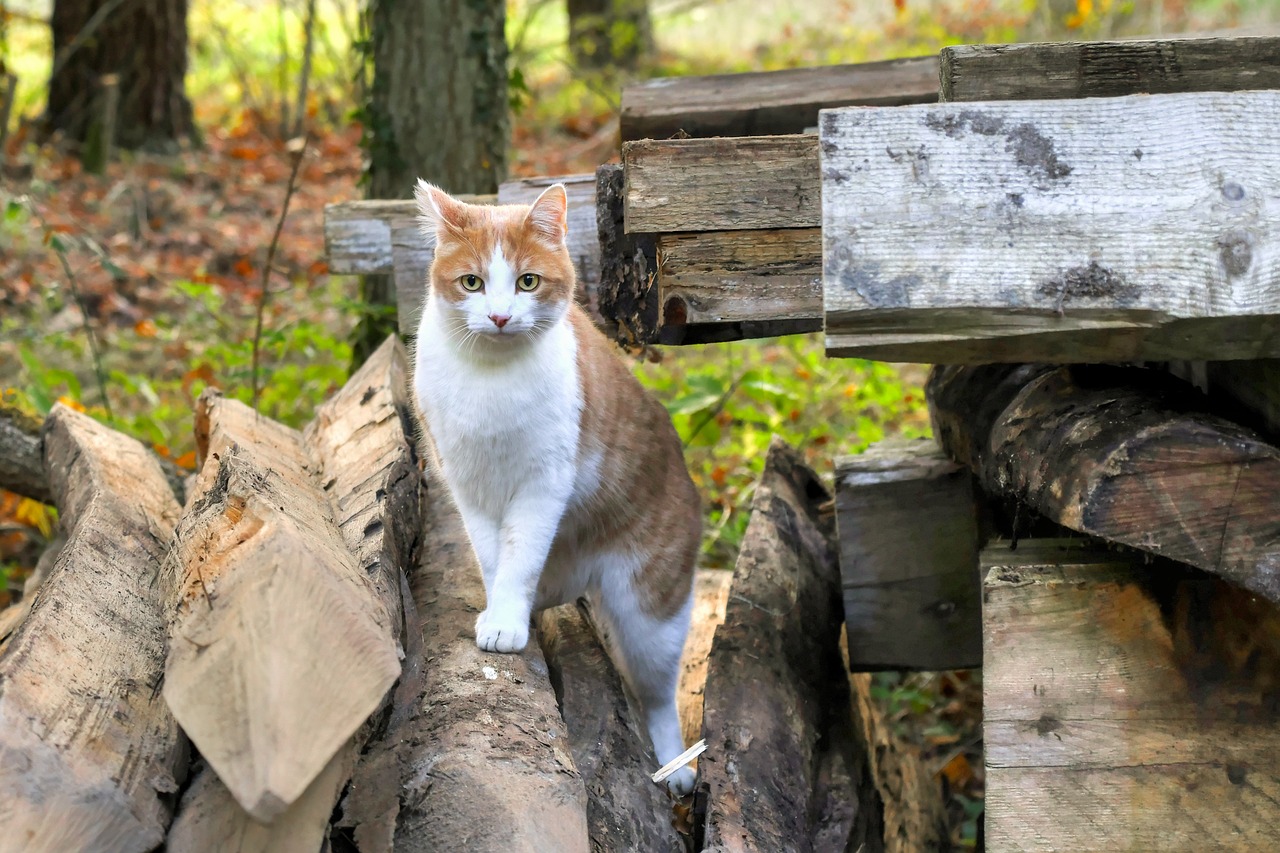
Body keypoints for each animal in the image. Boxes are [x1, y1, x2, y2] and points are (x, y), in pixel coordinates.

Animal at [409, 178, 701, 788]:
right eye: (471, 282)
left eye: (528, 281)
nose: (499, 317)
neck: (491, 378)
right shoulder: (468, 483)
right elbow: (494, 557)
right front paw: (500, 610)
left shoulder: (543, 484)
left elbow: (519, 557)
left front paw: (505, 620)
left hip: (650, 614)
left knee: (658, 697)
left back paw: (675, 766)